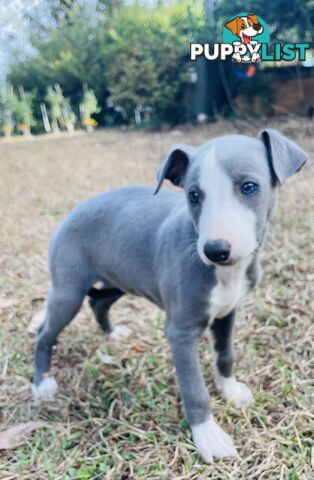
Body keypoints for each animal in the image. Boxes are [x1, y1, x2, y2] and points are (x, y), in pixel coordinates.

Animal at [31, 127, 306, 462]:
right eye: (194, 195)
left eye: (249, 187)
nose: (215, 250)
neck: (224, 273)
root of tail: (73, 211)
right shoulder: (181, 332)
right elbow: (194, 389)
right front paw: (208, 436)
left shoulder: (228, 312)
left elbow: (225, 355)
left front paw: (229, 390)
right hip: (68, 292)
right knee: (45, 332)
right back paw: (42, 383)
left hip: (119, 280)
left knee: (98, 301)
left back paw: (112, 333)